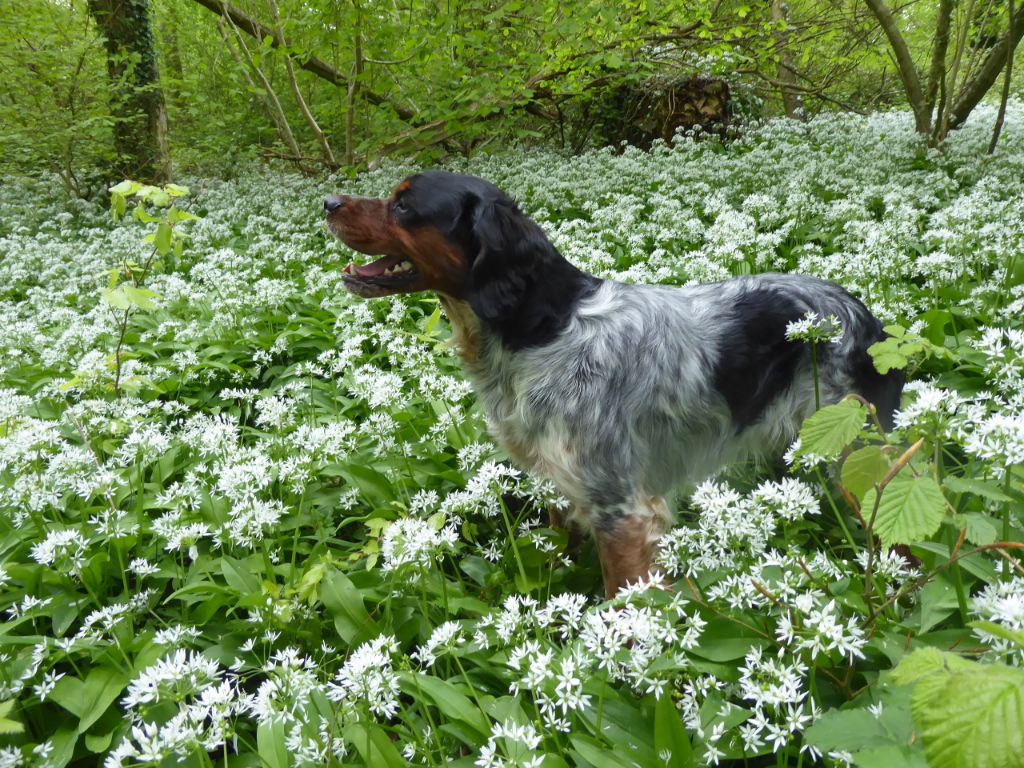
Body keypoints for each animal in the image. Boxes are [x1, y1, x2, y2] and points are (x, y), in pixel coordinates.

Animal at [321, 171, 905, 598]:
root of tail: (871, 322)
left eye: (403, 205)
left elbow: (623, 599)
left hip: (855, 460)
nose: (327, 201)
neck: (541, 331)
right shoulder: (563, 485)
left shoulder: (622, 510)